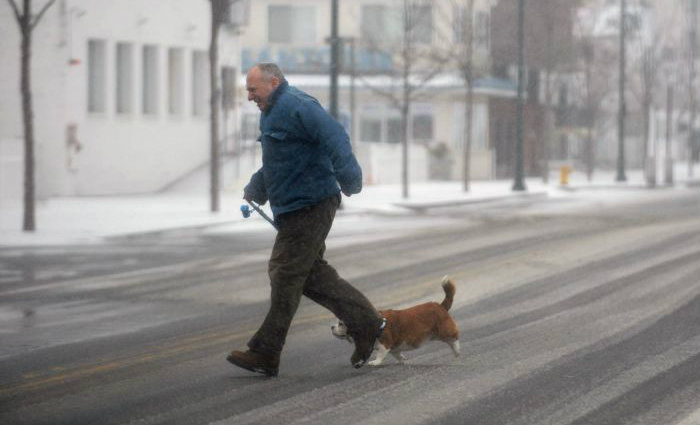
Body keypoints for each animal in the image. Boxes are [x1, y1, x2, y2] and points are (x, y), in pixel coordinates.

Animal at [332, 274, 462, 364]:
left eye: (341, 323)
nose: (331, 327)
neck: (374, 323)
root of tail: (441, 306)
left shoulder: (385, 344)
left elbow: (380, 355)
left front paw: (375, 362)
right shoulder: (394, 349)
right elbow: (398, 355)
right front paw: (402, 360)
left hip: (444, 331)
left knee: (454, 338)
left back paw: (457, 351)